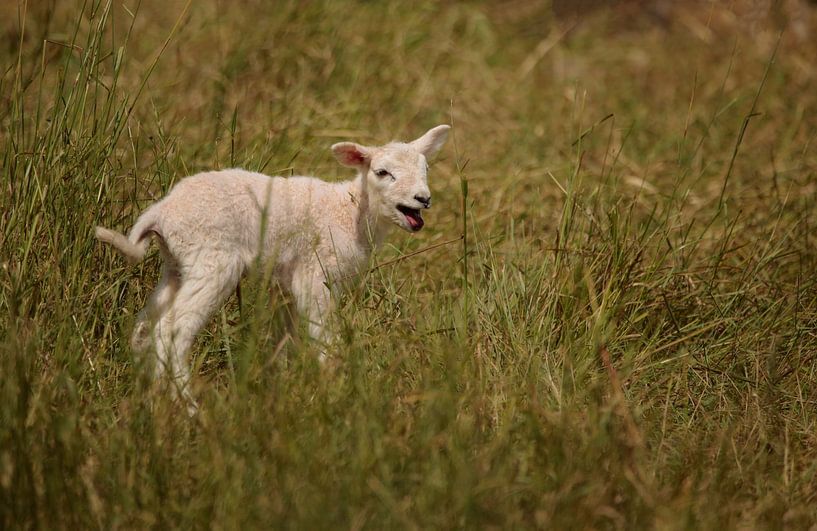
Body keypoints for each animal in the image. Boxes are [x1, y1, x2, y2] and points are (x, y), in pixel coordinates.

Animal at [96, 124, 450, 407]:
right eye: (382, 173)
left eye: (426, 168)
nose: (422, 199)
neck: (351, 211)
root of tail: (162, 210)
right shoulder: (314, 275)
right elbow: (324, 335)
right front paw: (335, 388)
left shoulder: (287, 284)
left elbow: (286, 339)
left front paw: (284, 384)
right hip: (213, 262)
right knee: (171, 329)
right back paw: (187, 406)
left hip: (177, 265)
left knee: (144, 327)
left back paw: (149, 392)